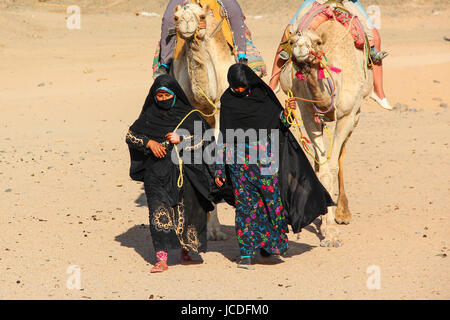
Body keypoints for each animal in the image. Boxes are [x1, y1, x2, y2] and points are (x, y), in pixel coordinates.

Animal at [280, 20, 374, 248]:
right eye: (292, 41)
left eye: (317, 42)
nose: (301, 48)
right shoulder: (307, 111)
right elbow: (323, 169)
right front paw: (327, 227)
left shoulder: (348, 114)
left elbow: (332, 167)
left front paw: (332, 227)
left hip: (357, 114)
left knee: (340, 156)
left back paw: (343, 212)